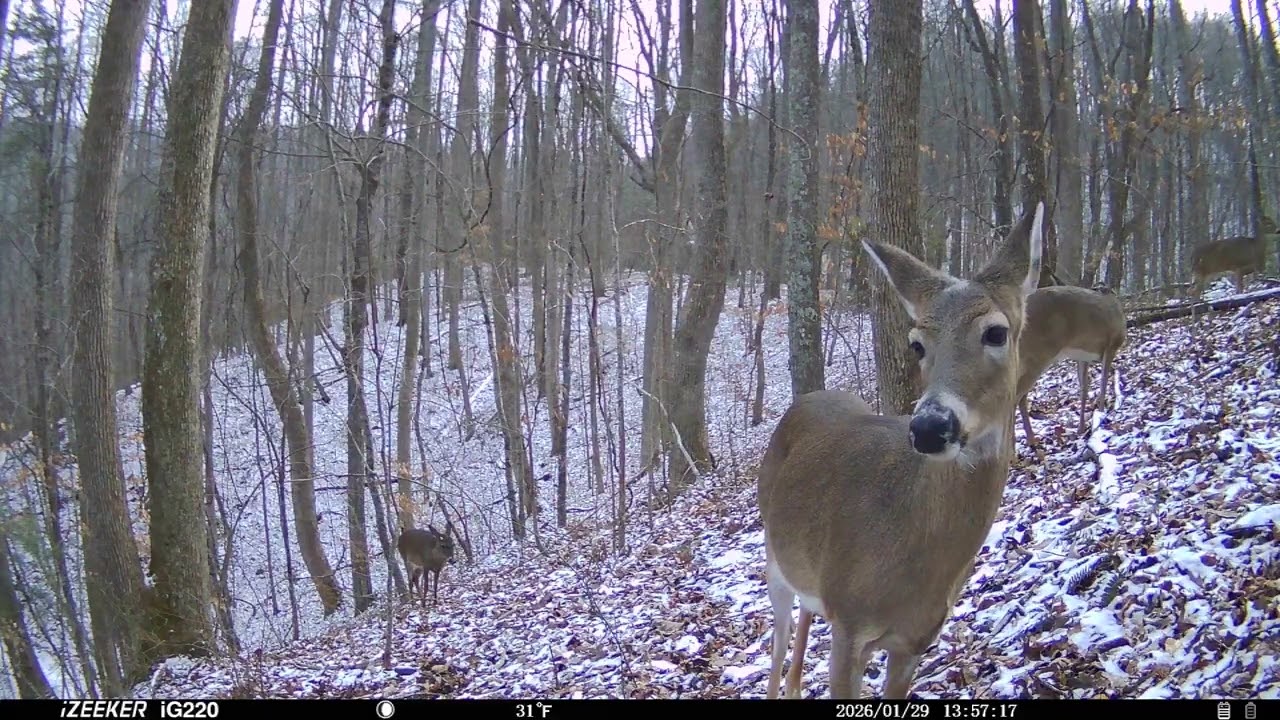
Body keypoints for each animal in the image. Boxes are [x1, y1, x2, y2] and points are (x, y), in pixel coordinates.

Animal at [758, 202, 1044, 700]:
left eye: (996, 332)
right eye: (916, 344)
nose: (930, 427)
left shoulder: (914, 641)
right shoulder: (849, 628)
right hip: (774, 560)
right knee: (776, 651)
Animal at [1014, 285, 1127, 458]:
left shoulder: (1083, 357)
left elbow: (1084, 389)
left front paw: (1081, 428)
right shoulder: (1112, 345)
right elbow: (1102, 385)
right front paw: (1101, 419)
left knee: (1020, 397)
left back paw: (1032, 442)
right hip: (1038, 354)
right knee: (1014, 397)